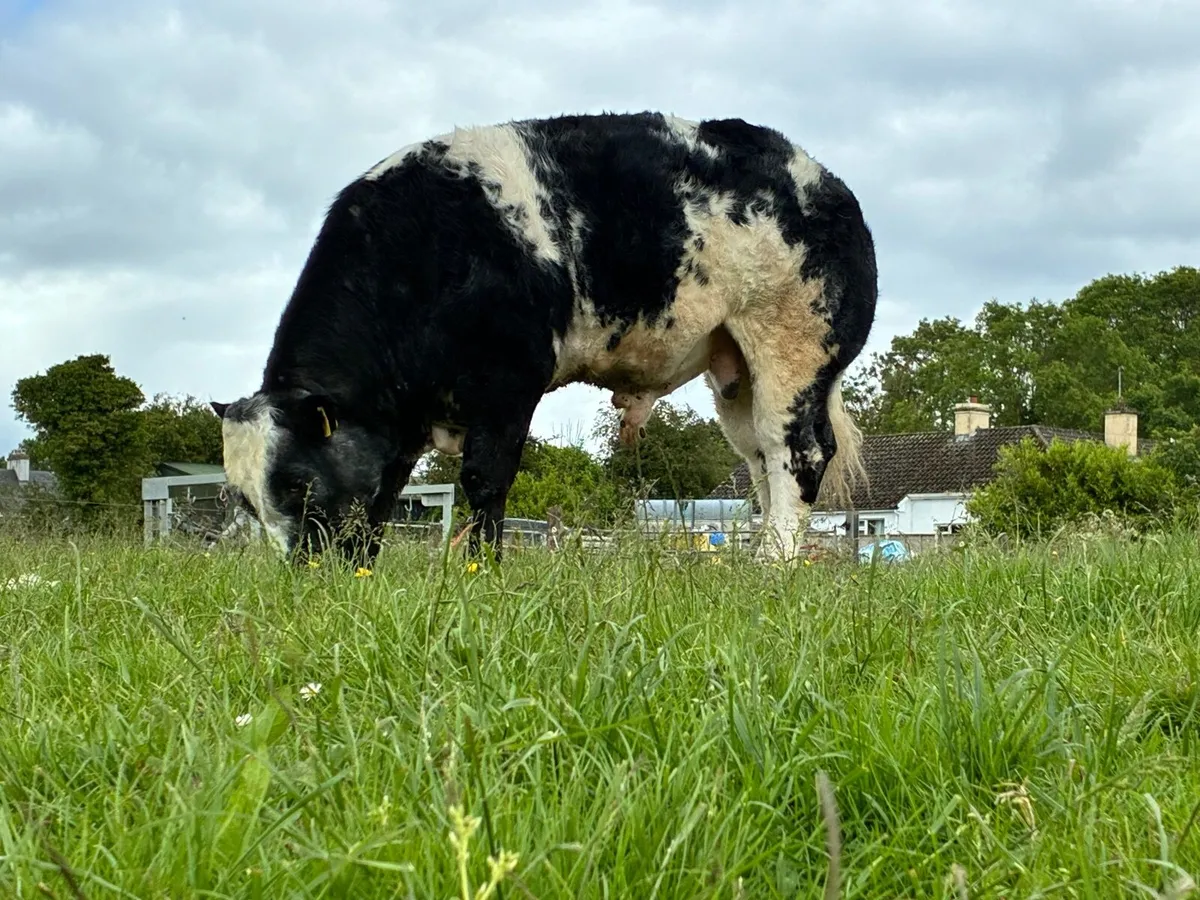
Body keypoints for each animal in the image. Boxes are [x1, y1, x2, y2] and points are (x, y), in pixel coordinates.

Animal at [211, 111, 877, 567]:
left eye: (298, 484)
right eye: (242, 500)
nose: (304, 572)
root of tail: (828, 183)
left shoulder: (508, 380)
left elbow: (485, 479)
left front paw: (483, 569)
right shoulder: (401, 419)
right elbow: (384, 488)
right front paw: (365, 571)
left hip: (792, 347)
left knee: (797, 453)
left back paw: (774, 563)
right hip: (734, 370)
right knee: (761, 457)